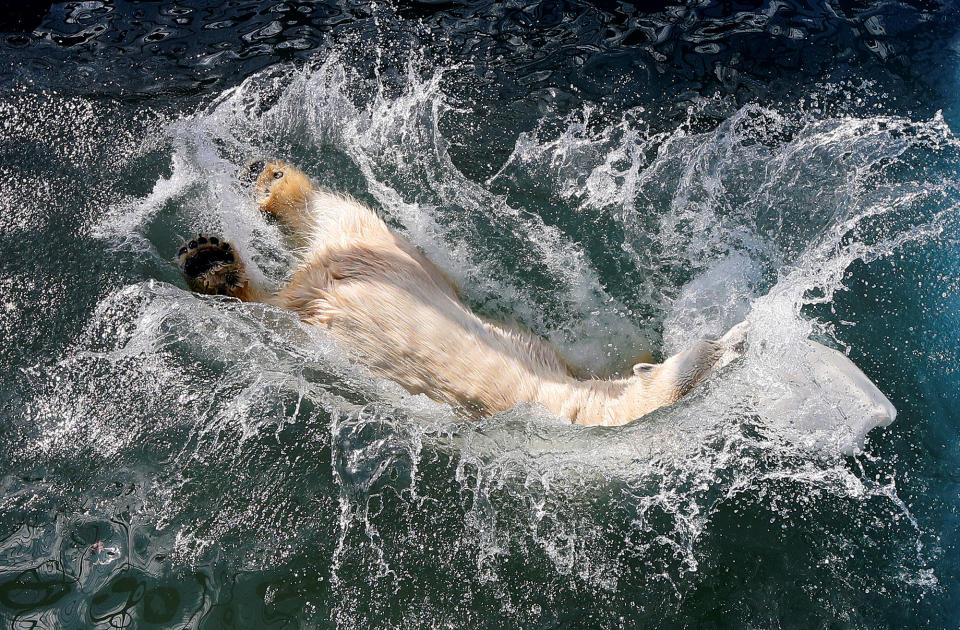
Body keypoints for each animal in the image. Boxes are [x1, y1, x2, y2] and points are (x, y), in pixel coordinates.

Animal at [178, 162, 752, 430]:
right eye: (715, 348)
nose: (747, 333)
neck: (584, 409)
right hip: (392, 257)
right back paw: (220, 253)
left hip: (355, 266)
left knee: (320, 225)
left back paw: (236, 230)